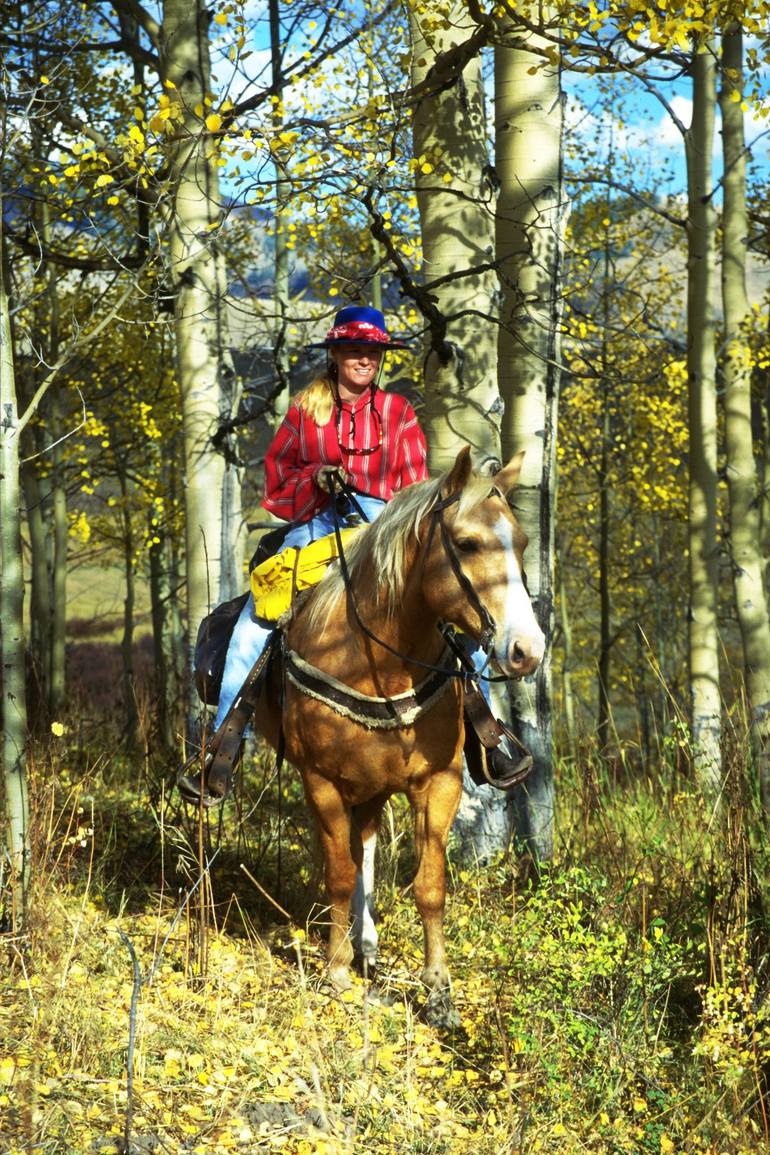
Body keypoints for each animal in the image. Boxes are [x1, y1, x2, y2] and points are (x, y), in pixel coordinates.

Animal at [256, 445, 544, 1025]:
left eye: (522, 542)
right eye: (467, 543)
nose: (528, 650)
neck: (378, 664)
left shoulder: (440, 783)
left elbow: (428, 885)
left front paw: (439, 992)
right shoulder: (320, 782)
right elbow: (339, 874)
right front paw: (335, 971)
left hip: (372, 787)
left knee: (364, 845)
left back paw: (368, 945)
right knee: (349, 856)